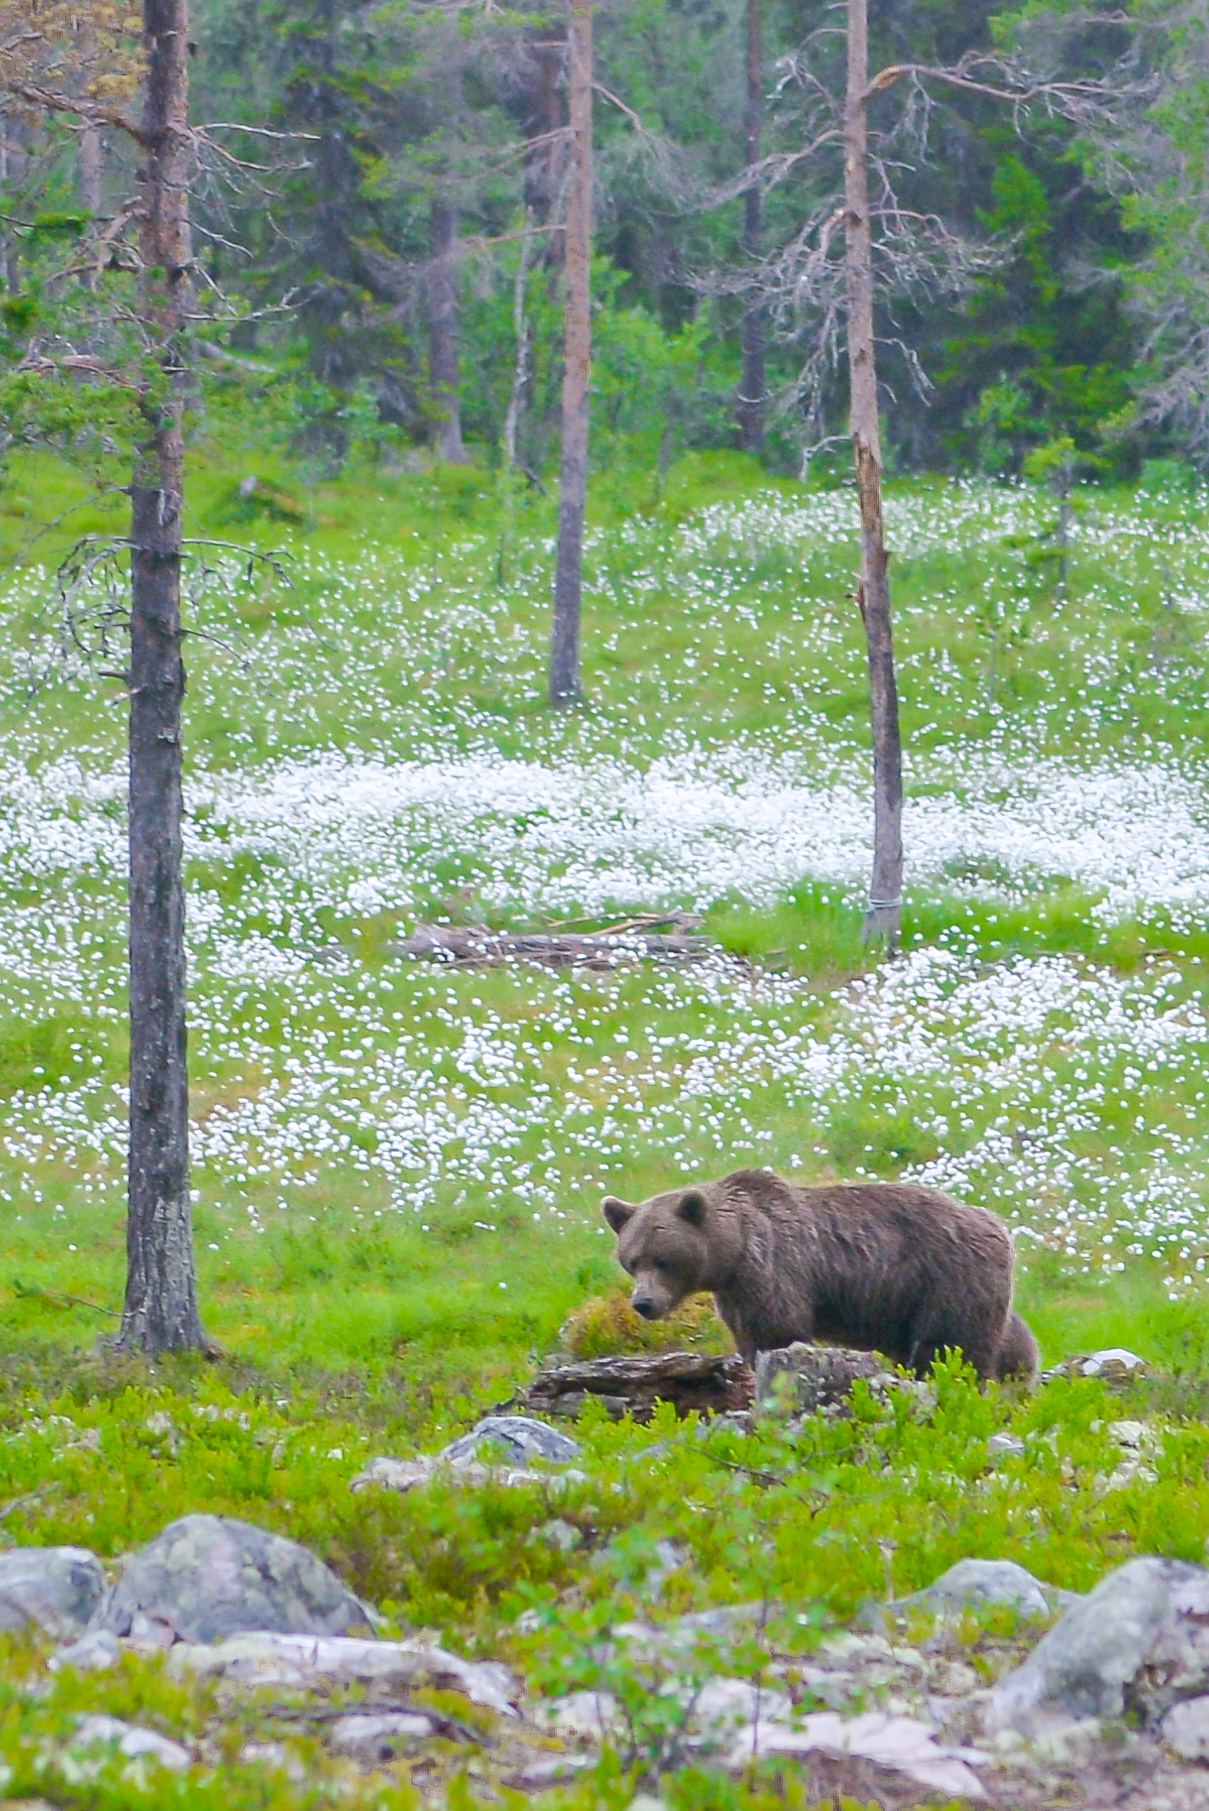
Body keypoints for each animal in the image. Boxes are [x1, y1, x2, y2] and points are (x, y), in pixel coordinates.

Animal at [602, 1168, 1038, 1383]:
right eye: (632, 1260)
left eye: (663, 1260)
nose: (644, 1303)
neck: (734, 1252)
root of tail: (997, 1224)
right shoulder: (736, 1295)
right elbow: (749, 1338)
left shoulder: (775, 1268)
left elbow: (778, 1330)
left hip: (947, 1276)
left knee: (950, 1345)